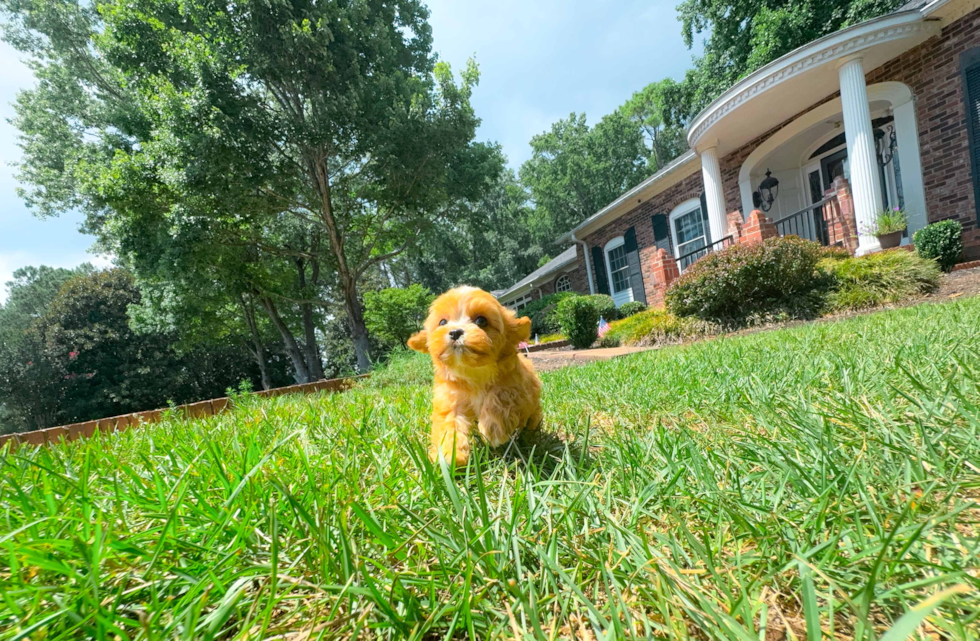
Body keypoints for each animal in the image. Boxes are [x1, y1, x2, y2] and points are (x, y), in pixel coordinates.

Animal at [408, 286, 544, 464]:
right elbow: (449, 423)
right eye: (442, 322)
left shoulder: (517, 387)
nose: (455, 332)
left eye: (481, 321)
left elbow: (502, 394)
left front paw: (493, 428)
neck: (473, 373)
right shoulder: (451, 399)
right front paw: (449, 455)